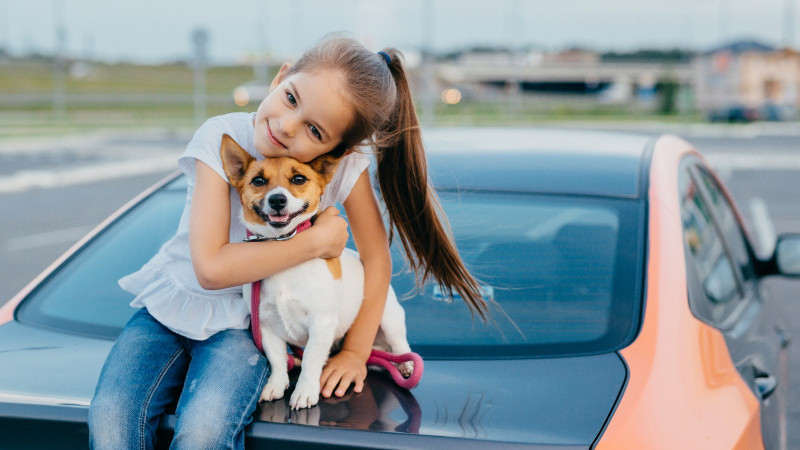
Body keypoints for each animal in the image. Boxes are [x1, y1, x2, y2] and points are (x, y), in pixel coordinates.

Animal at [222, 134, 416, 412]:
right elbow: (277, 360)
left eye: (298, 179)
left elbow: (312, 360)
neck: (284, 248)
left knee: (400, 343)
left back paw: (406, 364)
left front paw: (304, 391)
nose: (277, 200)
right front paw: (276, 384)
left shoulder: (321, 324)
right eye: (258, 181)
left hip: (389, 318)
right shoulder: (267, 326)